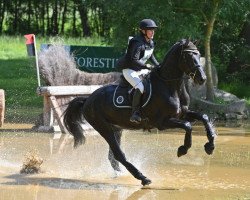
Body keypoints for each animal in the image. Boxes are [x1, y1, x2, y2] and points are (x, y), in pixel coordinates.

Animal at [63, 39, 216, 186]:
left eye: (198, 55)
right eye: (188, 56)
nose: (202, 79)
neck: (170, 86)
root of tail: (88, 99)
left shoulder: (182, 114)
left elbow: (204, 117)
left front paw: (210, 146)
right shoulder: (162, 122)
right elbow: (187, 126)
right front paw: (183, 149)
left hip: (116, 129)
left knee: (112, 156)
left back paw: (123, 175)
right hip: (104, 128)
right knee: (118, 154)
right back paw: (143, 178)